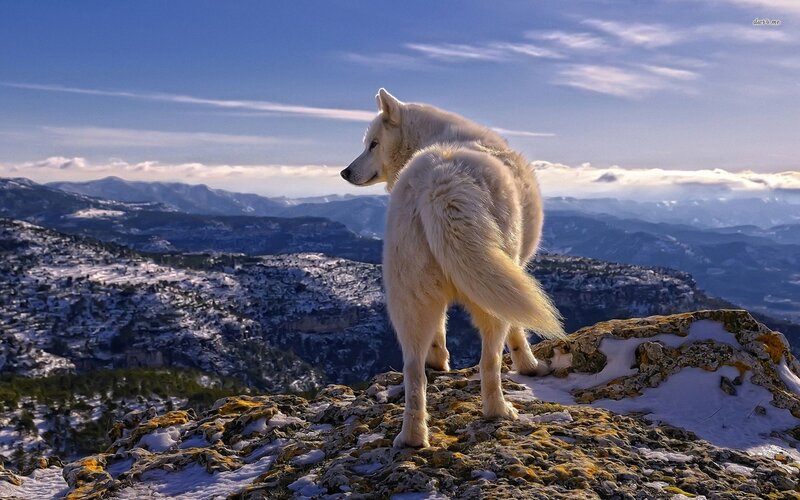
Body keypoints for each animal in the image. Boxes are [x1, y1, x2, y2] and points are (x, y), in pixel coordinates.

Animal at [341, 89, 566, 448]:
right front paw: (529, 365)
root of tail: (441, 183)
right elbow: (518, 331)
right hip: (488, 295)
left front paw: (439, 360)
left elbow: (441, 330)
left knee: (413, 369)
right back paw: (499, 411)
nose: (345, 172)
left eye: (373, 144)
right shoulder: (513, 270)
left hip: (409, 298)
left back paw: (413, 436)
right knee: (489, 361)